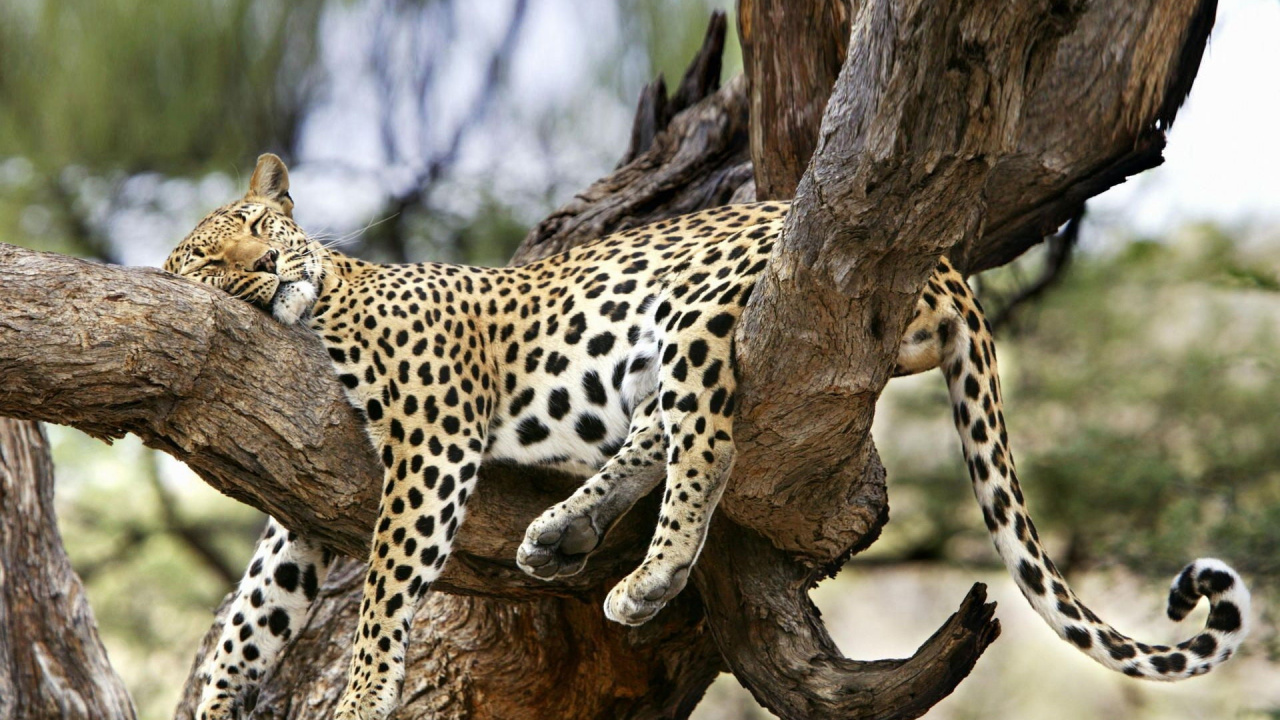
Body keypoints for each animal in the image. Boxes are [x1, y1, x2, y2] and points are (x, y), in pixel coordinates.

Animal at [166, 154, 1250, 719]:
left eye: (259, 225)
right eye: (208, 261)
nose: (264, 268)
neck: (325, 303)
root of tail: (944, 262)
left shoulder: (431, 444)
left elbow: (385, 593)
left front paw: (360, 698)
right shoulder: (302, 505)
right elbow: (254, 611)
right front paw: (214, 701)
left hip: (692, 310)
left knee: (709, 443)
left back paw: (645, 578)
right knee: (661, 429)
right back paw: (560, 532)